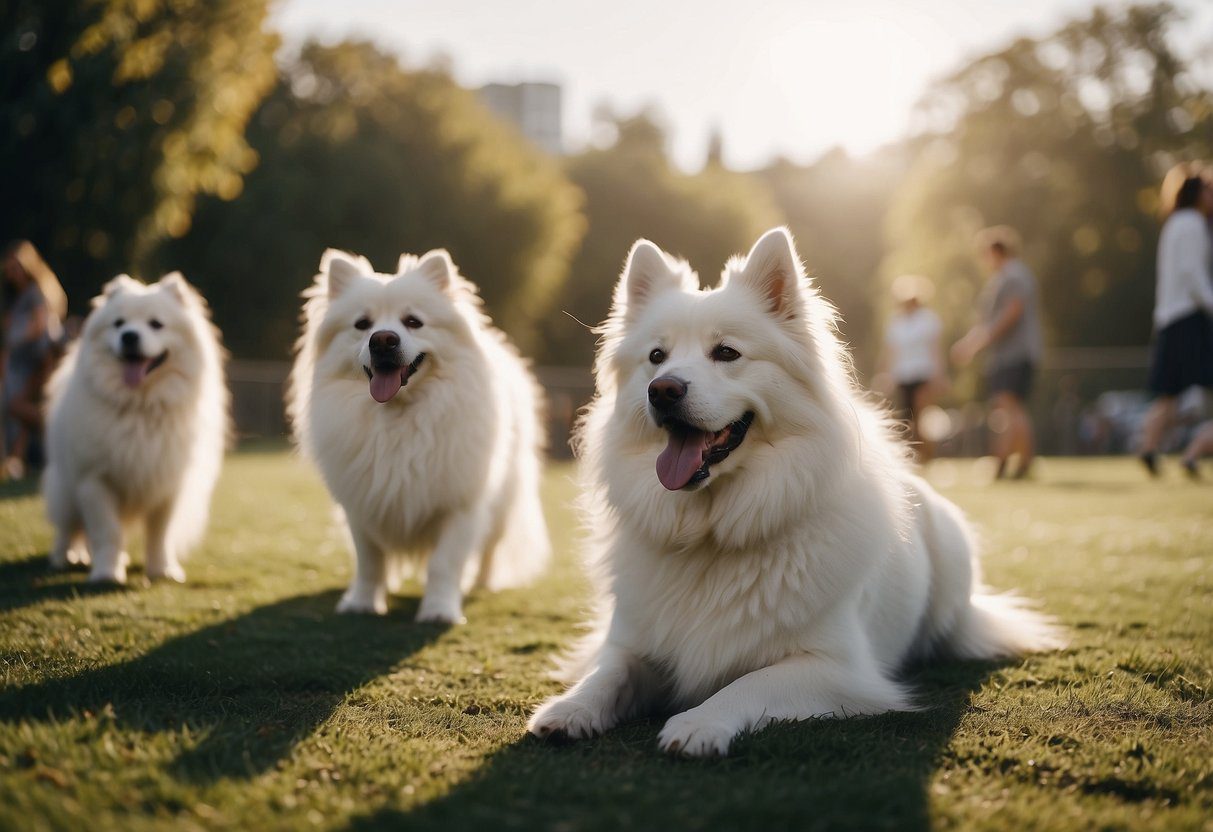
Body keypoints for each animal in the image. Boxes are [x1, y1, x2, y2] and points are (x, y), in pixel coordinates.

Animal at [42, 275, 228, 587]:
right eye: (118, 323)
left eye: (156, 324)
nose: (129, 336)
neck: (139, 406)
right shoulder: (94, 481)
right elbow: (107, 531)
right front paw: (106, 573)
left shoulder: (167, 484)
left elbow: (159, 534)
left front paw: (163, 570)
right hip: (65, 488)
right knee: (68, 528)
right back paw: (66, 557)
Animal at [288, 244, 550, 620]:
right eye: (362, 325)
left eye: (413, 322)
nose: (383, 340)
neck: (400, 416)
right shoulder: (361, 506)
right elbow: (370, 562)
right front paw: (362, 603)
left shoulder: (459, 505)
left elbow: (444, 563)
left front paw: (439, 610)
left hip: (504, 502)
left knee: (491, 548)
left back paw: (483, 583)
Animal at [531, 231, 1062, 761]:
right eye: (656, 357)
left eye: (727, 353)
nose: (662, 390)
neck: (712, 533)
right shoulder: (631, 645)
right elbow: (608, 674)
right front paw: (569, 709)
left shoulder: (837, 668)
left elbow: (747, 684)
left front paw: (699, 722)